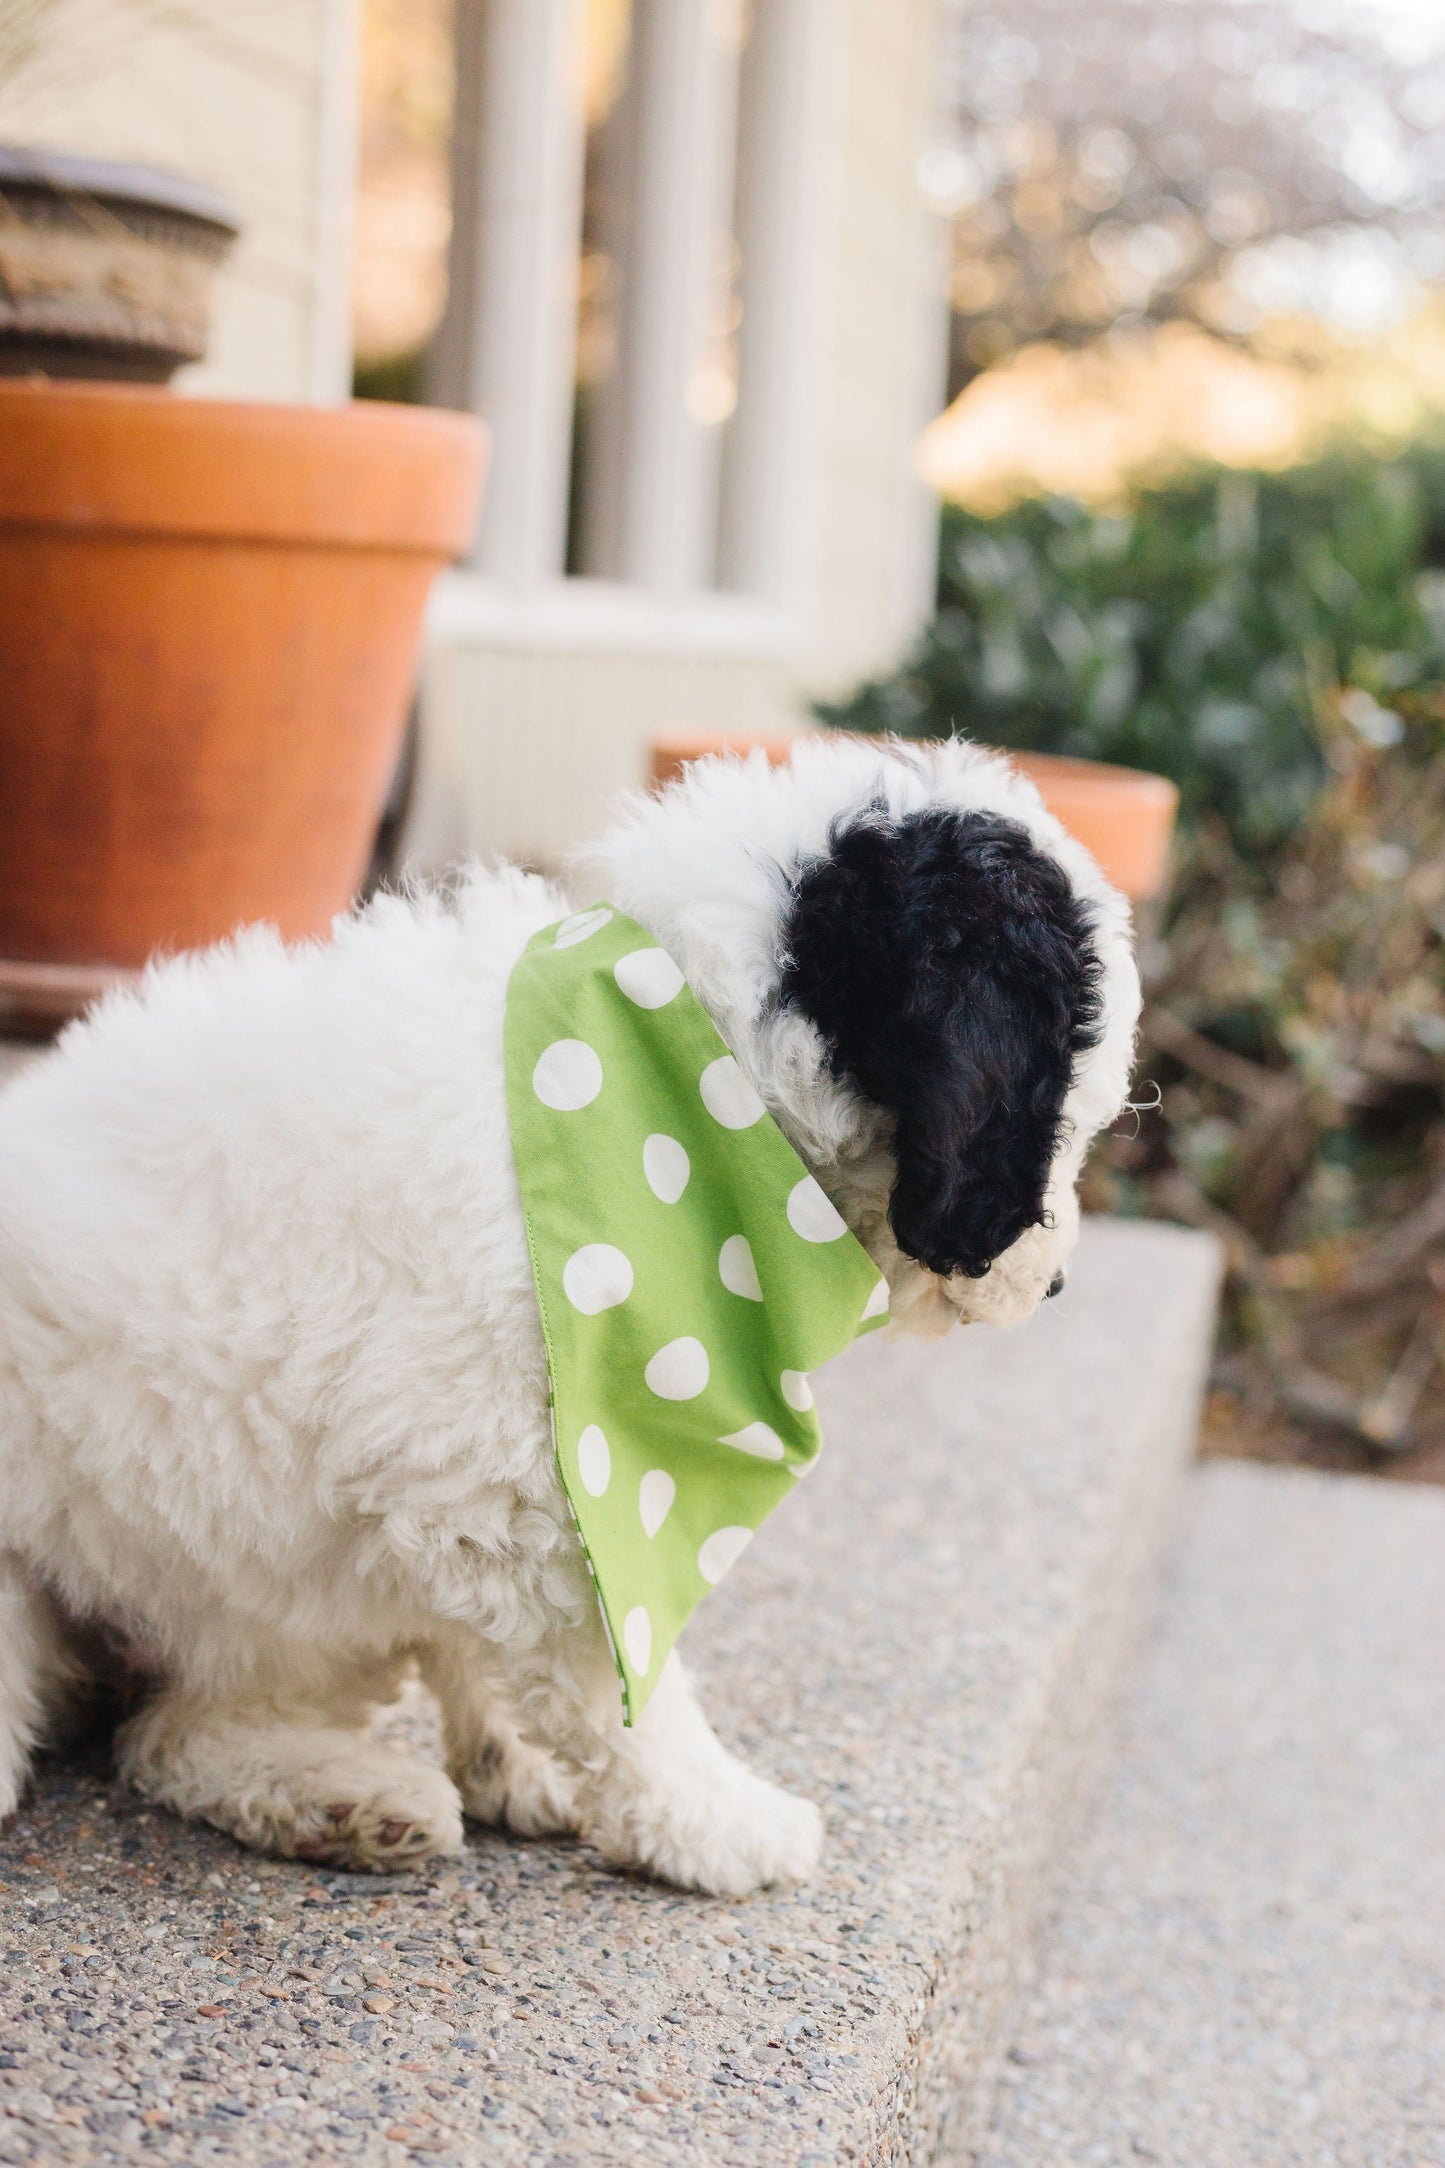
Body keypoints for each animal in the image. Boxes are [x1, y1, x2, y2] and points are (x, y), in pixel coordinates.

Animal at [0, 737, 1135, 1890]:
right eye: (1063, 1117)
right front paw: (715, 1820)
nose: (1054, 1284)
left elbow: (479, 1643)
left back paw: (346, 1799)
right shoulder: (527, 1498)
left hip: (274, 1604)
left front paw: (520, 1763)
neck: (675, 1074)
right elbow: (619, 1689)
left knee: (177, 1731)